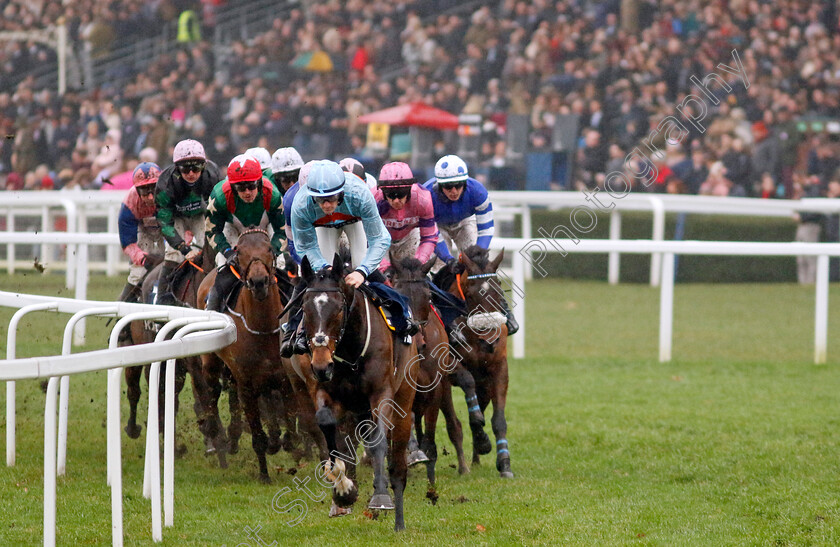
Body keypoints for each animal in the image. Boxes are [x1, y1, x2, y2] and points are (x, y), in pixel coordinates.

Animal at [296, 255, 420, 532]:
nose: (321, 365)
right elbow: (327, 426)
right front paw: (343, 488)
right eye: (305, 309)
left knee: (398, 464)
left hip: (404, 403)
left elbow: (378, 442)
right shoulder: (324, 390)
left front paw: (380, 497)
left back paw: (399, 522)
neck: (351, 350)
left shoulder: (381, 393)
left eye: (339, 309)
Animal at [388, 255, 472, 482]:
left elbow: (431, 429)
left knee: (451, 424)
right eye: (397, 295)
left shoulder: (436, 387)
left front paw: (429, 460)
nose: (418, 342)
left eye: (427, 296)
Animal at [440, 246, 512, 478]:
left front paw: (504, 464)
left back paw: (475, 459)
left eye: (499, 292)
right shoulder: (448, 365)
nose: (489, 341)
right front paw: (482, 438)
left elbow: (498, 420)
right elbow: (467, 380)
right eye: (470, 295)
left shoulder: (499, 369)